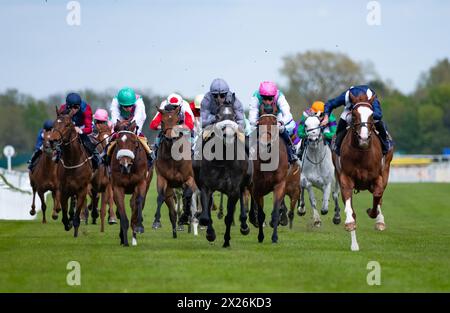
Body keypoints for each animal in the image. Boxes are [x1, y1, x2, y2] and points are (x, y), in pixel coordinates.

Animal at [153, 106, 195, 238]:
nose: (170, 137)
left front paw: (185, 218)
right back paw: (176, 230)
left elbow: (187, 195)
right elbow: (160, 197)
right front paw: (156, 221)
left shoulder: (189, 179)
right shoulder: (162, 178)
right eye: (162, 121)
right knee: (172, 209)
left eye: (177, 121)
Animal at [192, 102, 251, 246]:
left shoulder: (233, 190)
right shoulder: (206, 187)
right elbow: (206, 216)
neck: (223, 160)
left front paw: (226, 241)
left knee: (243, 194)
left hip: (244, 182)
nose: (228, 135)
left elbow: (228, 217)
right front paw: (210, 234)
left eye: (234, 116)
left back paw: (244, 225)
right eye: (217, 116)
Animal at [250, 113, 288, 243]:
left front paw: (275, 237)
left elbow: (276, 211)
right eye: (259, 124)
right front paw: (260, 236)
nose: (264, 145)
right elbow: (261, 214)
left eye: (273, 124)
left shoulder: (280, 184)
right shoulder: (257, 189)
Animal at [334, 92, 394, 251]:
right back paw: (354, 245)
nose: (363, 138)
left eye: (372, 115)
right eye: (354, 114)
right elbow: (350, 209)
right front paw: (349, 223)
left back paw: (379, 220)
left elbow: (378, 195)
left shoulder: (377, 178)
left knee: (379, 196)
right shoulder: (345, 177)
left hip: (386, 170)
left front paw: (376, 217)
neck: (361, 153)